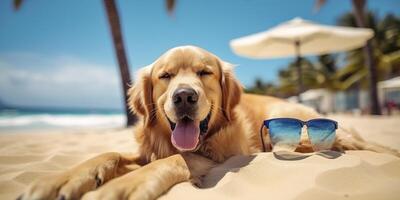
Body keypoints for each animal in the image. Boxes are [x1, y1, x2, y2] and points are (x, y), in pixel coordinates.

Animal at [19, 45, 400, 200]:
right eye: (165, 76)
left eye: (204, 73)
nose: (185, 97)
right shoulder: (145, 150)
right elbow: (107, 154)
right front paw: (60, 180)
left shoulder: (215, 157)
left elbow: (176, 157)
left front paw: (122, 186)